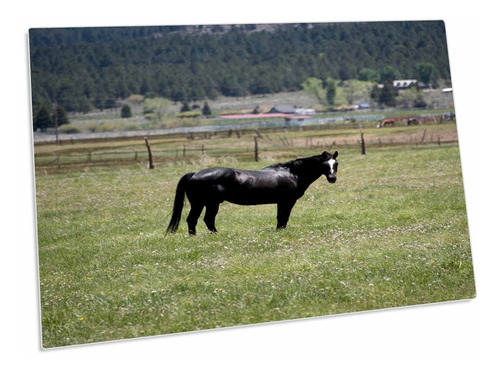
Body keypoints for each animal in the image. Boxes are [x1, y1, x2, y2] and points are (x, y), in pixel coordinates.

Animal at [166, 151, 338, 235]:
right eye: (324, 164)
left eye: (335, 164)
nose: (332, 178)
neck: (292, 173)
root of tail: (194, 174)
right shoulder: (287, 201)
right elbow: (283, 217)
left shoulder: (281, 202)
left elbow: (280, 217)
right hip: (204, 203)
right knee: (196, 220)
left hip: (208, 203)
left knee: (204, 220)